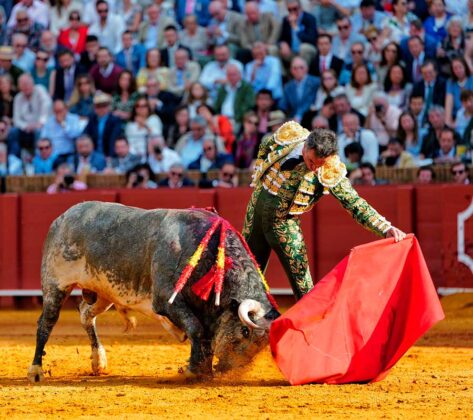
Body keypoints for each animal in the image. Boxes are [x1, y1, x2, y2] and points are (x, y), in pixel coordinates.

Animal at [27, 202, 279, 383]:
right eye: (245, 331)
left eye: (263, 344)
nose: (228, 371)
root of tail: (63, 217)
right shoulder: (167, 301)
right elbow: (196, 329)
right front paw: (193, 371)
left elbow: (204, 336)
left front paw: (203, 371)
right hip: (55, 285)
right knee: (46, 323)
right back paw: (36, 371)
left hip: (104, 294)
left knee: (85, 314)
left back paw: (98, 362)